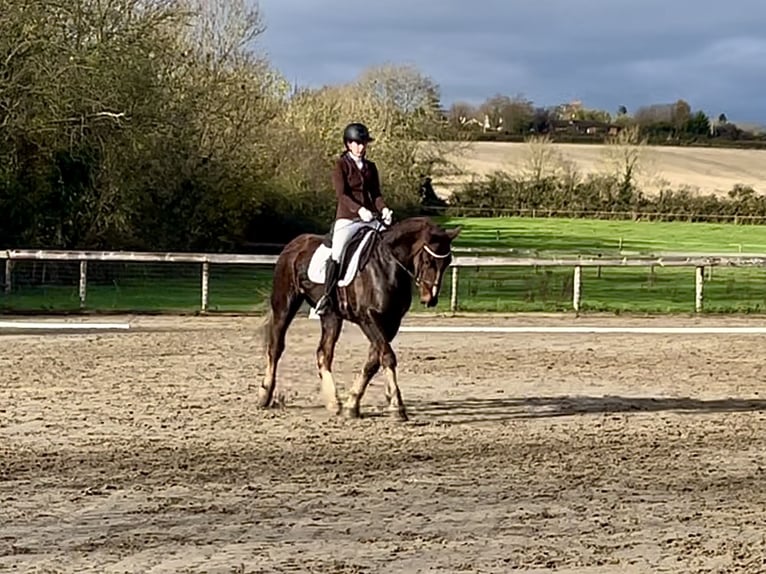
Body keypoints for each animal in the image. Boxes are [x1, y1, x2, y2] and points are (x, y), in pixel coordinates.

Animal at [258, 216, 462, 424]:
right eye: (428, 260)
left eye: (447, 262)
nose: (430, 299)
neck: (387, 266)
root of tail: (294, 243)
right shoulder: (368, 318)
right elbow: (387, 357)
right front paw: (397, 406)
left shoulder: (391, 322)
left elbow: (373, 361)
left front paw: (352, 404)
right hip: (285, 304)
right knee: (276, 347)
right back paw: (265, 395)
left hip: (331, 315)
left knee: (324, 353)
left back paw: (334, 402)